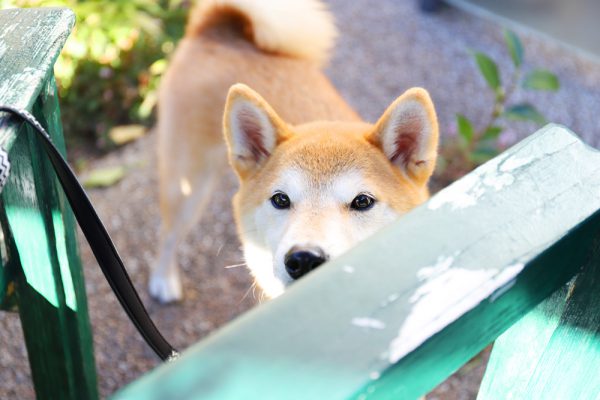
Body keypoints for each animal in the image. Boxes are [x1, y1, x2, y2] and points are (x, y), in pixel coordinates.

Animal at [149, 0, 440, 302]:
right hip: (187, 189)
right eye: (280, 199)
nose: (304, 259)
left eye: (362, 201)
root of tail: (216, 29)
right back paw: (163, 279)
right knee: (168, 234)